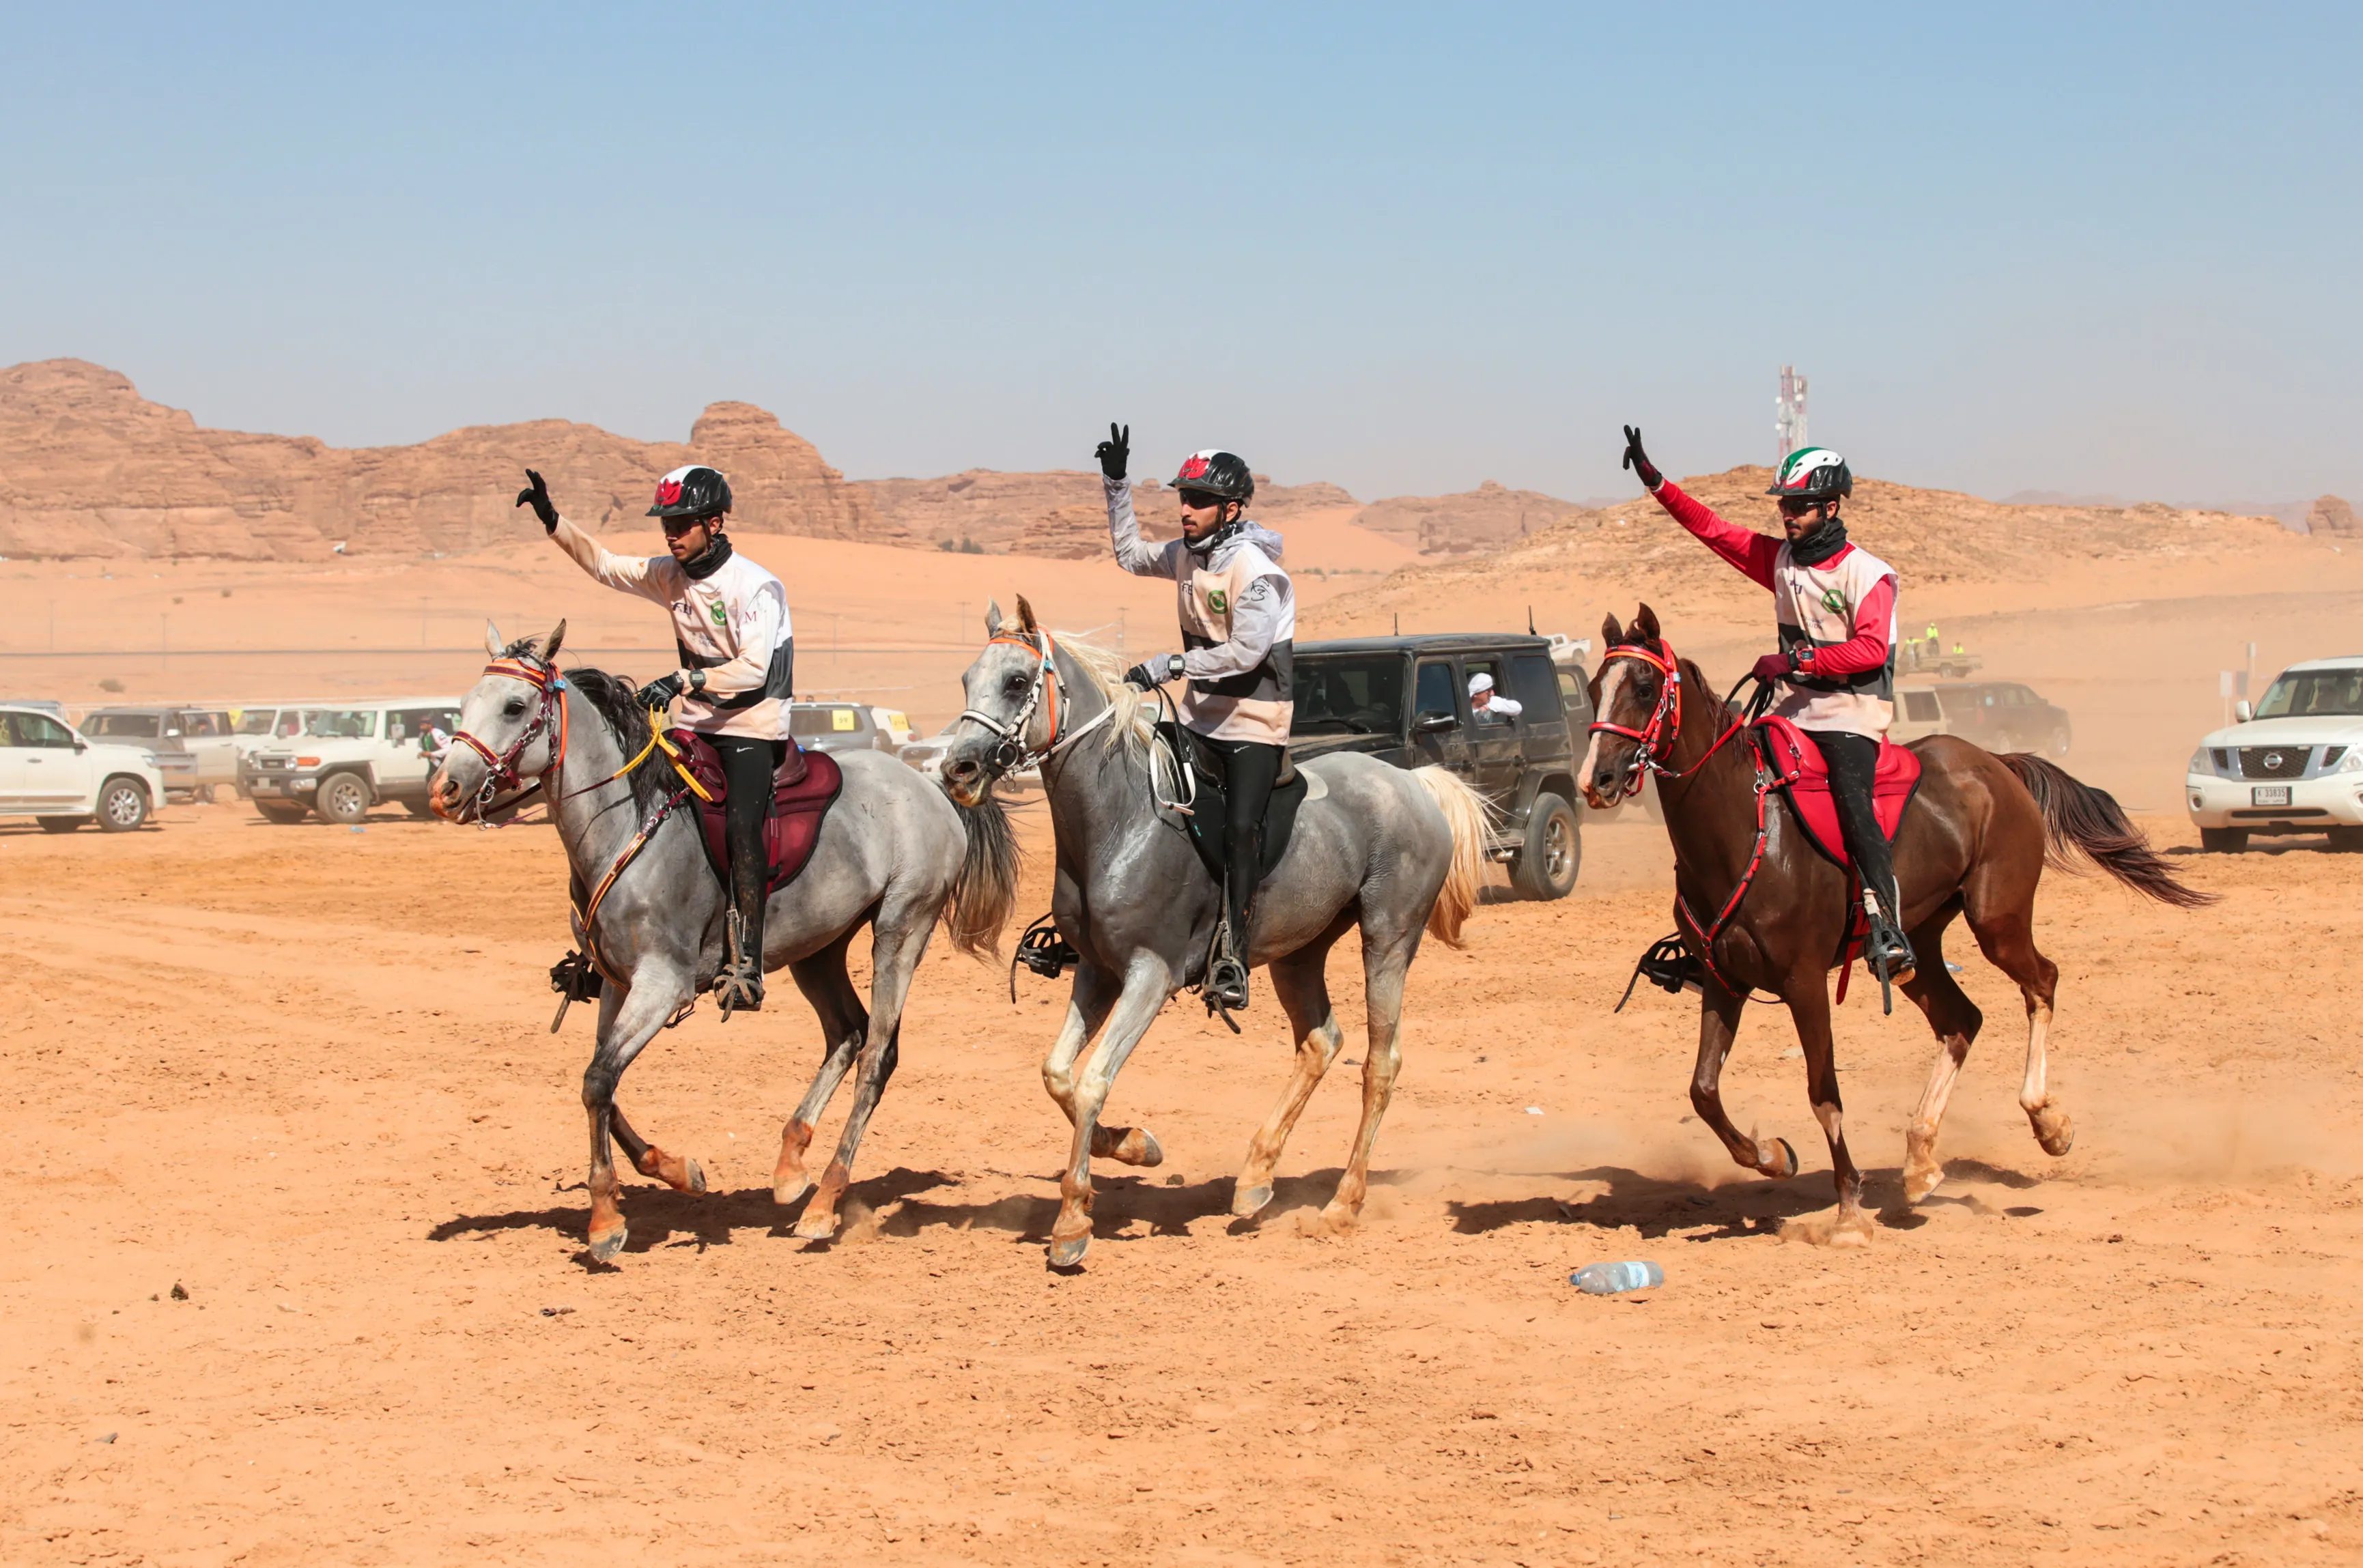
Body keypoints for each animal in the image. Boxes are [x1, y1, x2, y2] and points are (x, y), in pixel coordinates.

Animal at [430, 622, 1019, 1261]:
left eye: (514, 707)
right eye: (465, 702)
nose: (446, 788)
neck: (624, 822)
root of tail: (930, 785)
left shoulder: (661, 985)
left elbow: (597, 1082)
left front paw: (606, 1220)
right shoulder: (618, 983)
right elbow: (602, 1083)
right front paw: (676, 1170)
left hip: (901, 928)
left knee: (877, 1055)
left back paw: (822, 1204)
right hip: (819, 948)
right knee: (848, 1032)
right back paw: (790, 1165)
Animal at [937, 596, 1492, 1267]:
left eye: (1017, 681)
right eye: (967, 679)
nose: (958, 769)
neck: (1121, 819)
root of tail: (1416, 783)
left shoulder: (1149, 976)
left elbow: (1093, 1080)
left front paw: (1072, 1221)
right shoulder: (1097, 971)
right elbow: (1058, 1074)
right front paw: (1133, 1144)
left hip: (1387, 940)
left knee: (1379, 1063)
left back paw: (1341, 1205)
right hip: (1298, 953)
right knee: (1321, 1042)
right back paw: (1255, 1176)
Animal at [1582, 604, 2210, 1242]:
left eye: (1644, 687)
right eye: (1592, 689)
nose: (1597, 780)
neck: (1744, 826)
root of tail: (1997, 764)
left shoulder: (1803, 984)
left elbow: (1823, 1092)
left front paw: (1848, 1211)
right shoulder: (1722, 980)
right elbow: (1703, 1090)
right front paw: (1774, 1155)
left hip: (1997, 920)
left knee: (2042, 981)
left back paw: (2047, 1122)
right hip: (1920, 944)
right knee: (1961, 1020)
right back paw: (1919, 1161)